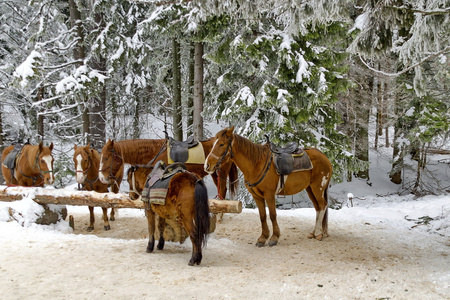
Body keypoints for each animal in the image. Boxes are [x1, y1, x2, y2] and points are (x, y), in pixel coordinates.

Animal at [98, 138, 239, 218]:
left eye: (107, 157)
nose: (101, 178)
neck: (155, 152)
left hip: (220, 172)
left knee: (223, 190)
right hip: (214, 172)